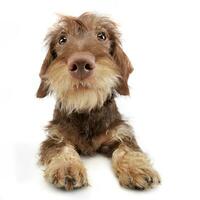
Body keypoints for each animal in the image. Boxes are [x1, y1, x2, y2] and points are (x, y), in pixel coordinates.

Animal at [36, 12, 161, 191]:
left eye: (102, 36)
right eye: (62, 39)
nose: (81, 63)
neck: (86, 111)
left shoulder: (120, 131)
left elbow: (126, 149)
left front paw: (137, 168)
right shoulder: (55, 135)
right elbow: (61, 148)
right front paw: (67, 166)